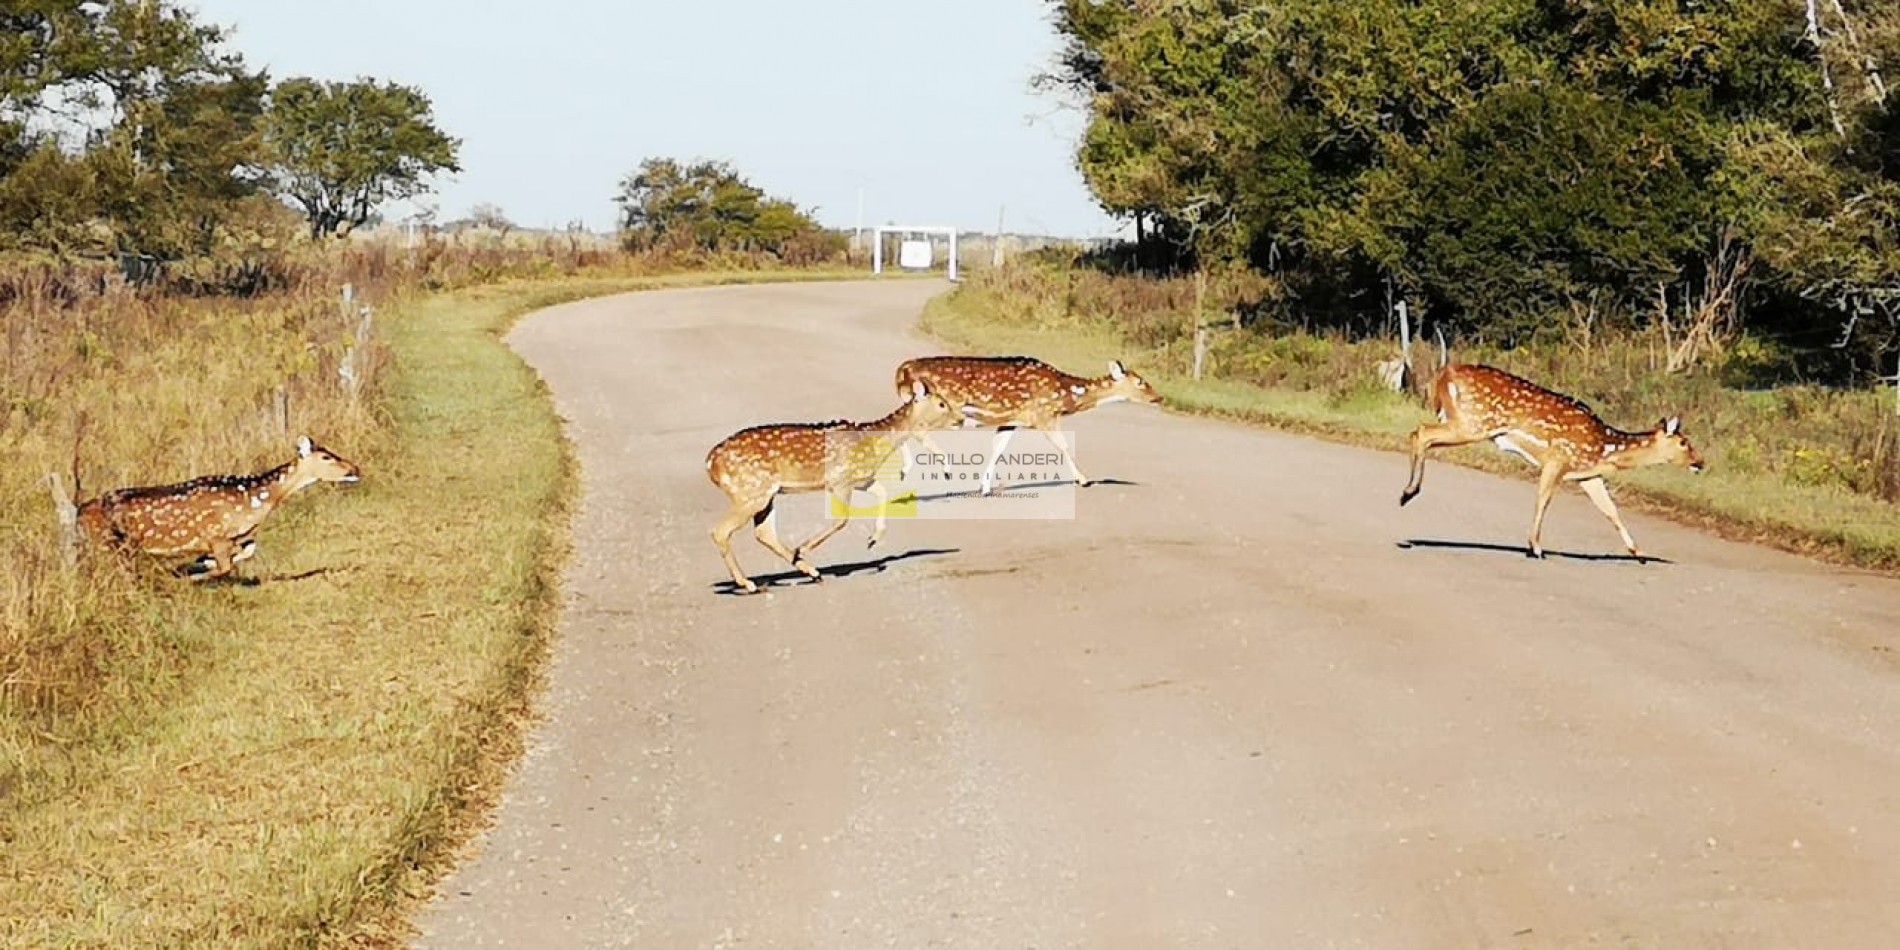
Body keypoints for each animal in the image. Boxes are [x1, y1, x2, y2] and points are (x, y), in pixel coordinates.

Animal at [71, 435, 362, 577]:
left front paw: (201, 565)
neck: (254, 501)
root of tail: (80, 512)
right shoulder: (215, 534)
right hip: (108, 543)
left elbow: (245, 552)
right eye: (326, 457)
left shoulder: (236, 537)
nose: (355, 469)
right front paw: (191, 574)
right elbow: (225, 567)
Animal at [706, 378, 957, 592]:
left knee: (763, 533)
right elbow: (842, 519)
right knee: (721, 531)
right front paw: (803, 548)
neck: (875, 445)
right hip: (750, 491)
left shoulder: (862, 480)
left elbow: (883, 493)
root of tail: (711, 464)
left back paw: (811, 572)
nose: (960, 419)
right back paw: (749, 584)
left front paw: (873, 539)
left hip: (765, 494)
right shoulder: (840, 480)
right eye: (942, 403)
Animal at [885, 355, 1155, 494]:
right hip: (944, 409)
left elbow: (998, 449)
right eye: (1140, 382)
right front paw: (1084, 480)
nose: (1158, 397)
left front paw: (984, 487)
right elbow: (1063, 445)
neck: (1064, 396)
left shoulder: (1011, 421)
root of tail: (901, 372)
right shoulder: (1043, 415)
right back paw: (942, 468)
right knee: (916, 430)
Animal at [1398, 361, 1710, 554]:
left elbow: (1610, 509)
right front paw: (1535, 546)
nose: (1700, 463)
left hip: (1466, 422)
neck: (1603, 447)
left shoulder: (1587, 473)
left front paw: (1638, 551)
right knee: (1422, 432)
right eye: (1684, 442)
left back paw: (1407, 494)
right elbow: (1543, 499)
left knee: (1420, 433)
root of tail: (1443, 375)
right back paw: (1408, 493)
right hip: (1473, 423)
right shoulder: (1557, 459)